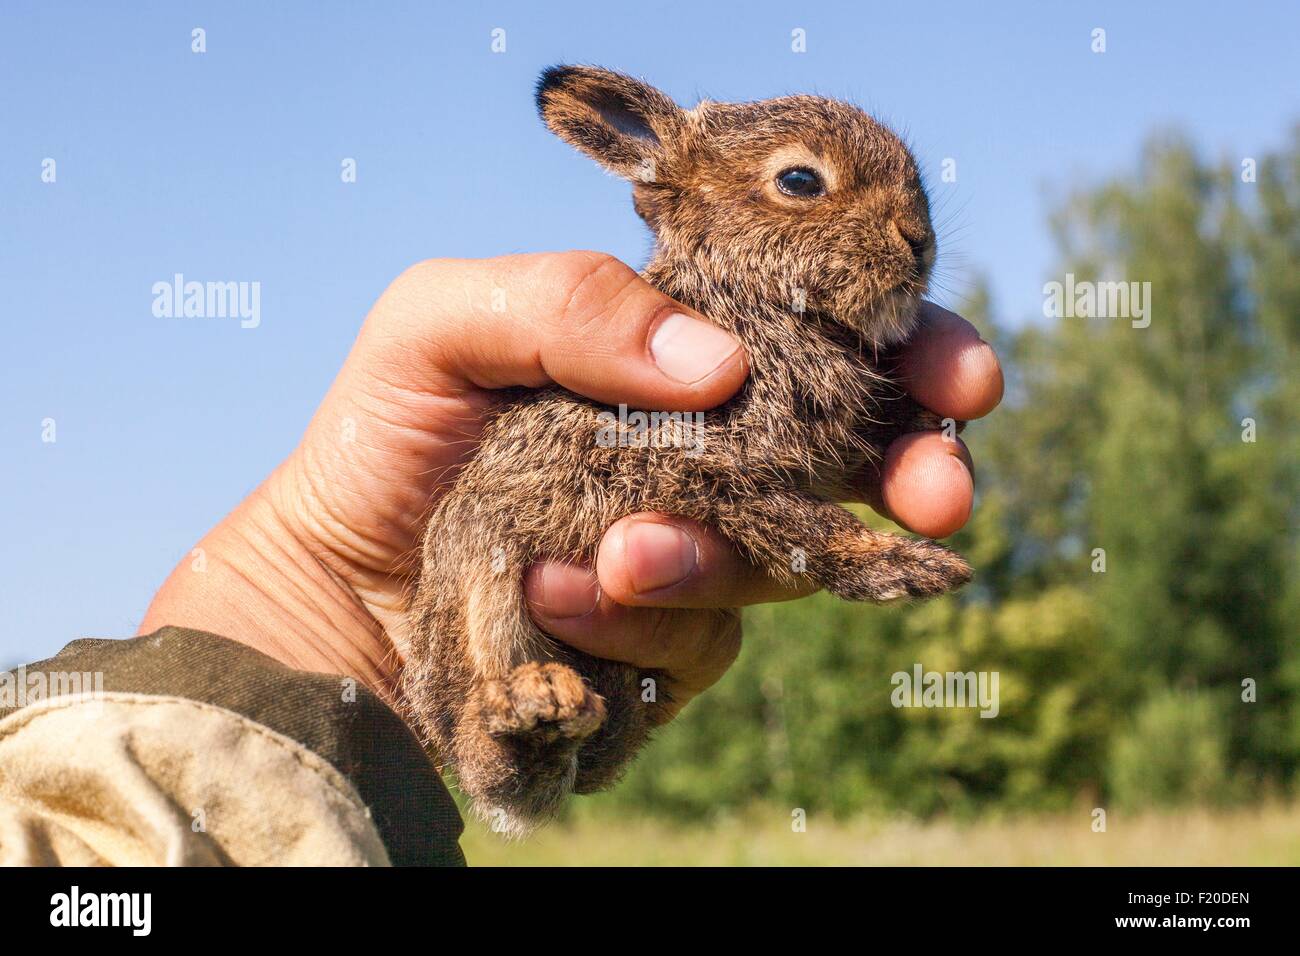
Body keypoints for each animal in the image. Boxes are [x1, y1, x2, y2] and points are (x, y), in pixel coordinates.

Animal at [400, 63, 972, 832]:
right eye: (799, 181)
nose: (919, 241)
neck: (748, 292)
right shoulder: (693, 462)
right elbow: (809, 527)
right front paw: (906, 566)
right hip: (476, 562)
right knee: (484, 730)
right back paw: (533, 707)